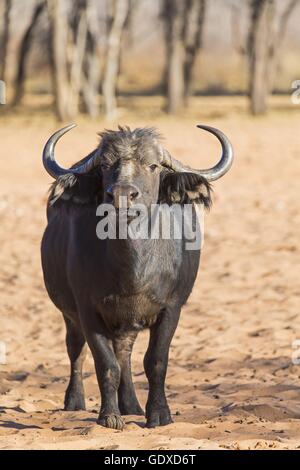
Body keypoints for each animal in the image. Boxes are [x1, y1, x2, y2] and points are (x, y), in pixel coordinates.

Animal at [41, 124, 233, 430]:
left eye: (153, 165)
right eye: (105, 165)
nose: (121, 195)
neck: (132, 269)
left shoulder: (172, 308)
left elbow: (155, 361)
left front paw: (158, 414)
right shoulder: (87, 310)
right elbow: (105, 364)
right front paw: (109, 416)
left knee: (125, 353)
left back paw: (131, 404)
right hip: (69, 313)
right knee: (77, 349)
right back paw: (75, 400)